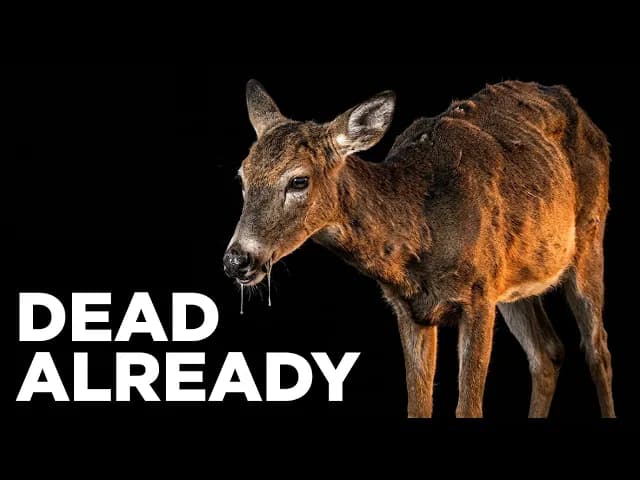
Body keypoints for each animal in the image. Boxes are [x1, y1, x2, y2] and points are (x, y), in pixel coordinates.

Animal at [223, 79, 615, 418]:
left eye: (299, 180)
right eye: (241, 176)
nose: (237, 259)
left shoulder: (478, 297)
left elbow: (468, 409)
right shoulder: (410, 310)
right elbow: (418, 406)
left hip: (590, 237)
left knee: (597, 348)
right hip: (513, 281)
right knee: (547, 352)